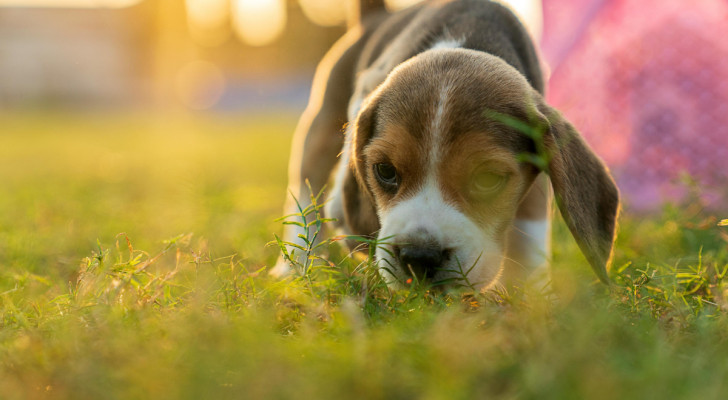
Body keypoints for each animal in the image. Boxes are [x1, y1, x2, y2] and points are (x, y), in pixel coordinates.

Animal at [272, 0, 620, 290]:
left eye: (488, 178)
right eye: (384, 170)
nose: (419, 258)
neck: (465, 38)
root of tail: (375, 15)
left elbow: (531, 232)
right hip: (320, 131)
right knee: (305, 201)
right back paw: (294, 268)